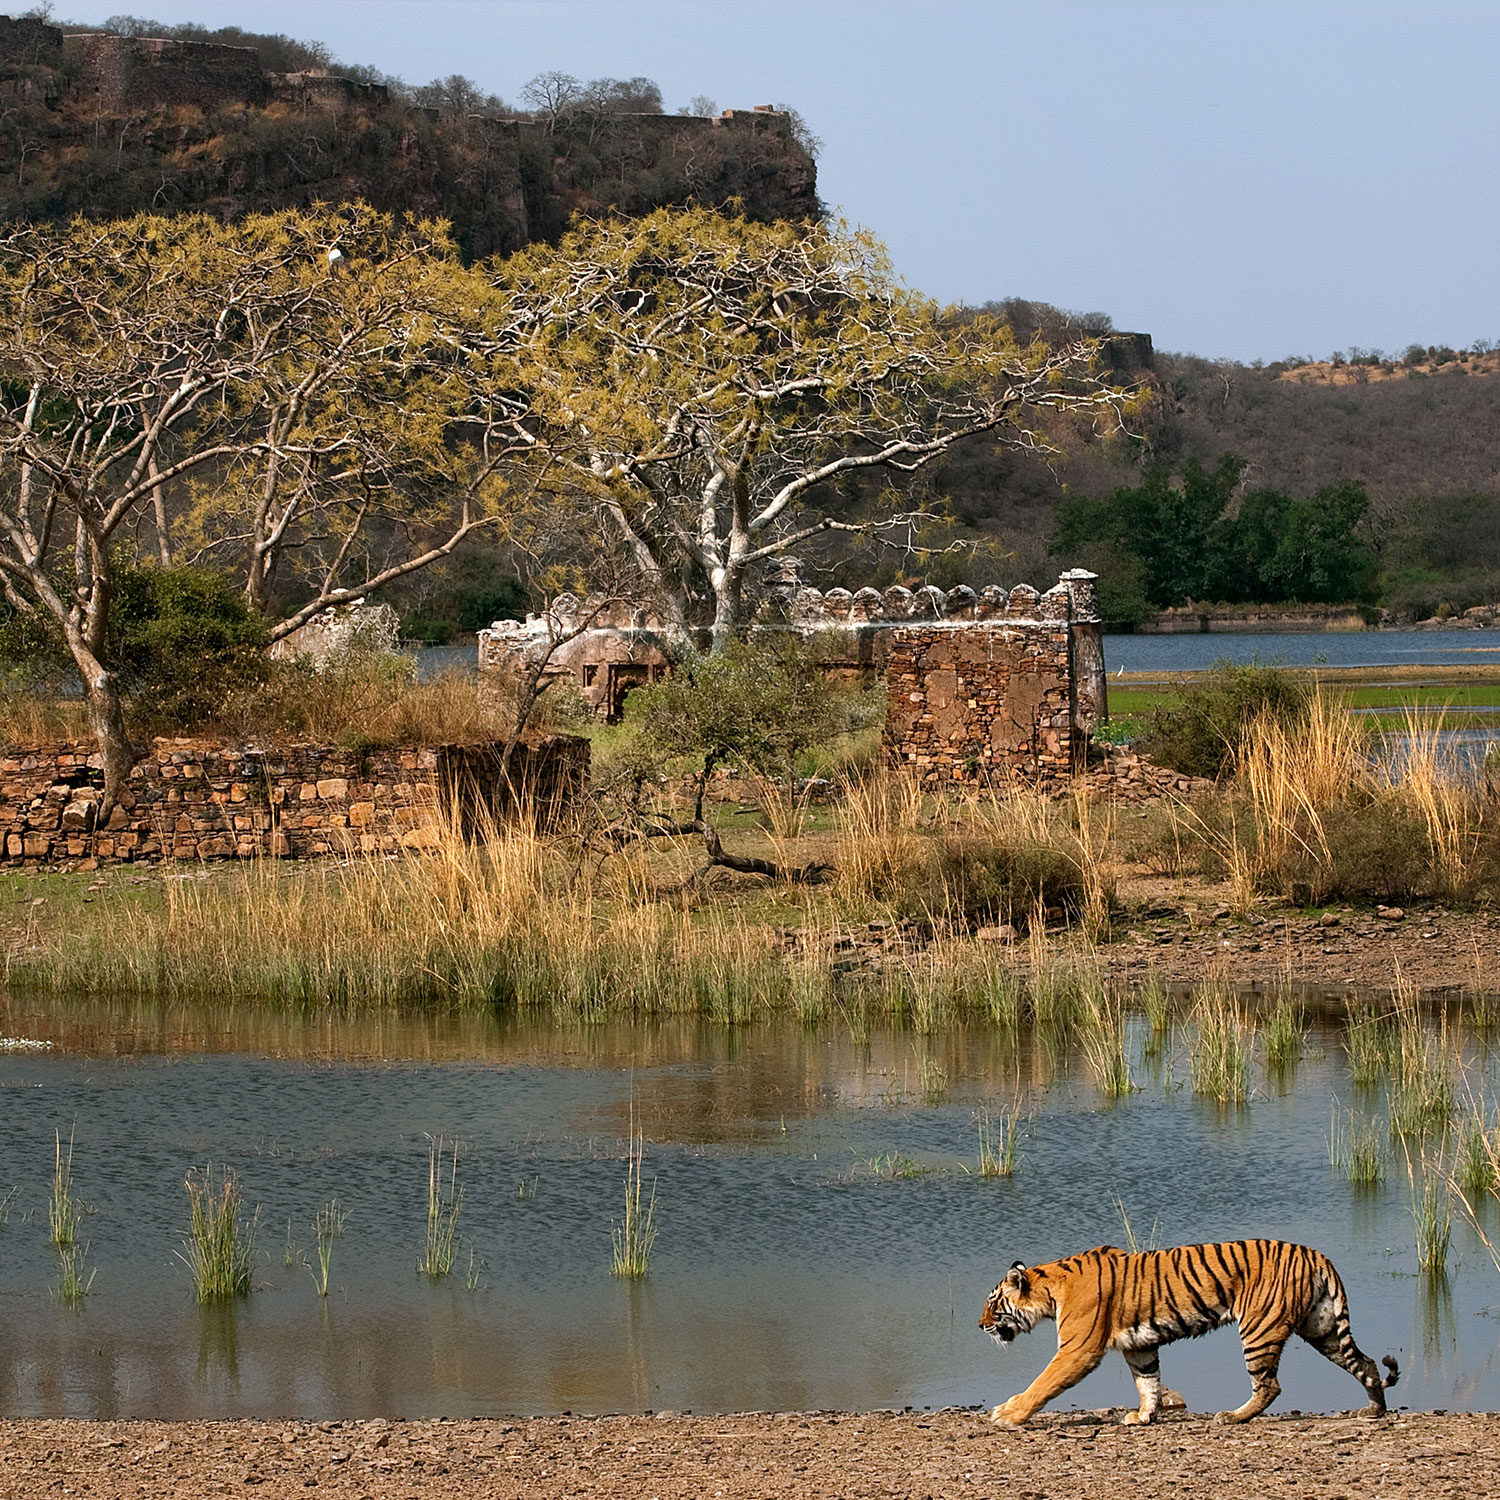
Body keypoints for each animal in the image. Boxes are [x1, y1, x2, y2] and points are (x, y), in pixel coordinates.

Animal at [978, 1236, 1398, 1434]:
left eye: (993, 1304)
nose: (979, 1326)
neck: (1051, 1289)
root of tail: (1315, 1254)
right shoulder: (1140, 1345)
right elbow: (1148, 1382)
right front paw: (1143, 1417)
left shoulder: (1077, 1349)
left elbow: (1042, 1385)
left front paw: (1007, 1414)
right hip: (1322, 1328)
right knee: (1366, 1363)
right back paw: (1373, 1410)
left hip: (1259, 1328)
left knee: (1269, 1385)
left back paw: (1232, 1417)